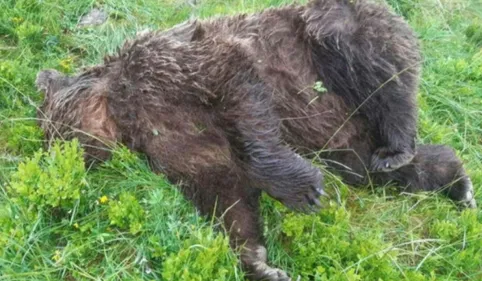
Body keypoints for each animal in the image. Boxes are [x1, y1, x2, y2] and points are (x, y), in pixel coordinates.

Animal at [35, 0, 476, 280]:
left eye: (52, 129)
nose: (58, 155)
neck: (123, 113)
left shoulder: (172, 67)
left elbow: (236, 88)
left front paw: (304, 190)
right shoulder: (175, 145)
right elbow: (224, 195)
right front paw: (260, 264)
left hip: (331, 40)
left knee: (375, 70)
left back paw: (399, 143)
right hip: (345, 136)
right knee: (370, 168)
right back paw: (453, 182)